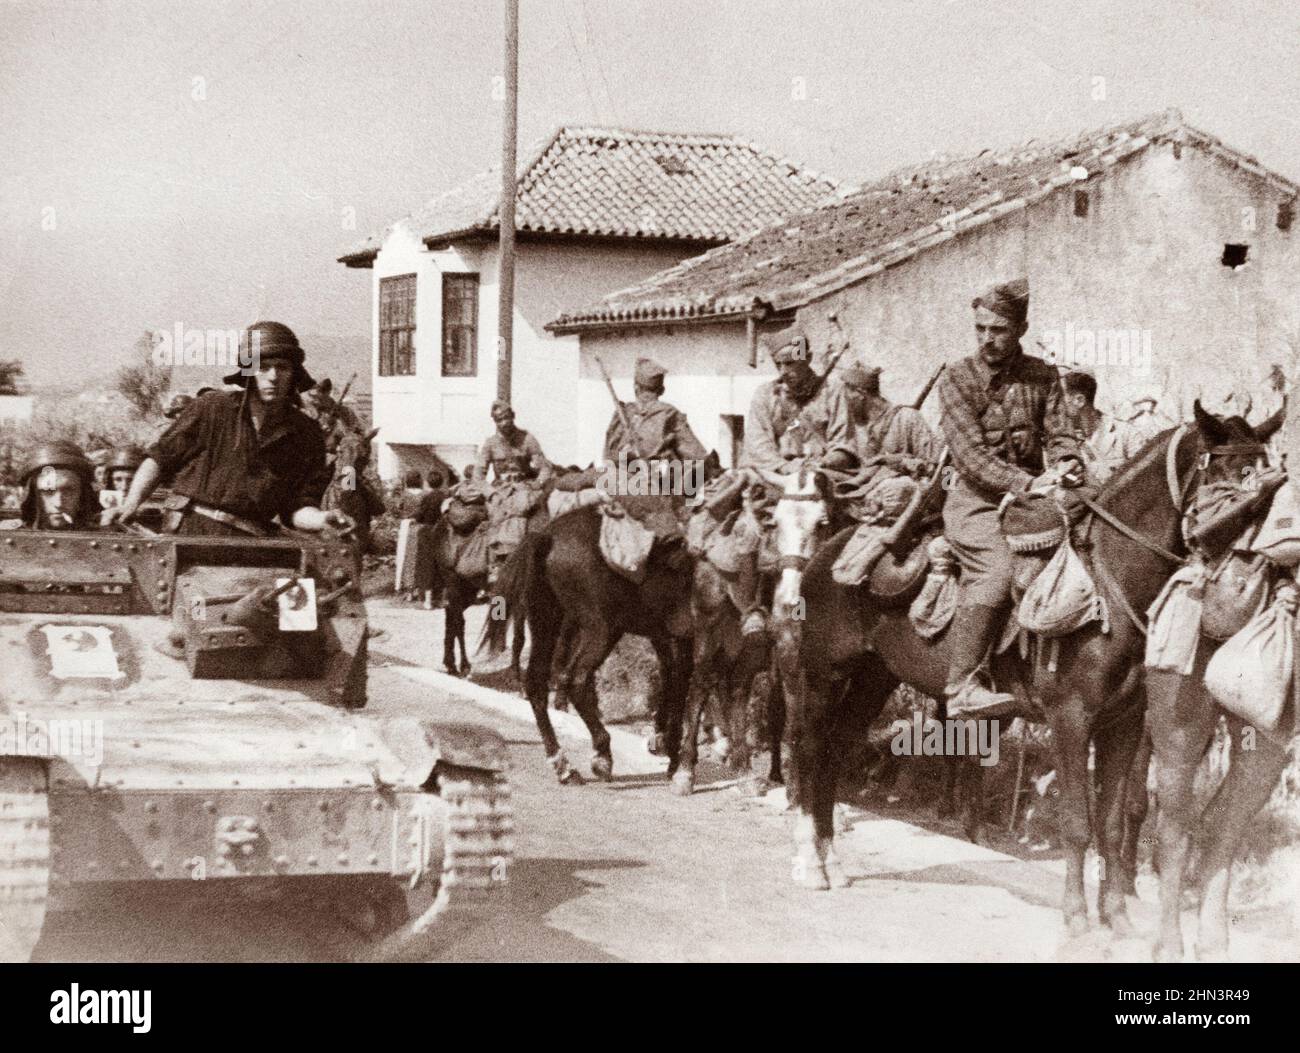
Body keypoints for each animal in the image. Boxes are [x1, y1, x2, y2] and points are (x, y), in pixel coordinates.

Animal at [769, 405, 1268, 941]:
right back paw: (810, 863)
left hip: (873, 679)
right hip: (822, 676)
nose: (1246, 579)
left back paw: (832, 862)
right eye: (1228, 476)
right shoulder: (1071, 719)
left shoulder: (1125, 725)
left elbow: (1112, 824)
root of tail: (824, 557)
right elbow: (1077, 823)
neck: (1108, 581)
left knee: (837, 748)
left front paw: (1117, 917)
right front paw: (1077, 918)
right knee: (809, 747)